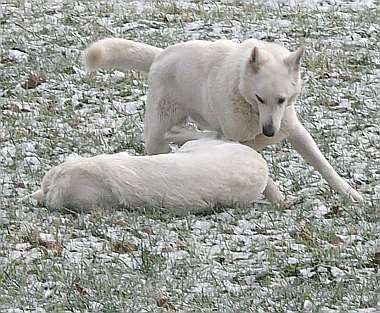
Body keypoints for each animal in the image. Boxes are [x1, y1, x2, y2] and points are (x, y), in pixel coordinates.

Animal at [84, 37, 364, 204]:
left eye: (282, 99)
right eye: (260, 98)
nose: (269, 132)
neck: (250, 106)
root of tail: (161, 55)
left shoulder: (293, 130)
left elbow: (323, 165)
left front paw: (351, 194)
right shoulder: (238, 138)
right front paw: (277, 197)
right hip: (158, 130)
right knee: (168, 140)